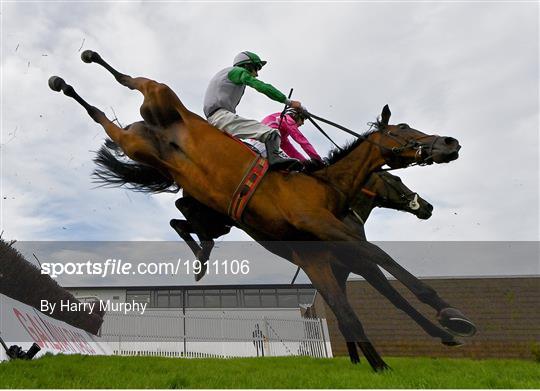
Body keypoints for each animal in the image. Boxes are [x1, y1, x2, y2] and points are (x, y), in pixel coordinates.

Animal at [50, 50, 472, 372]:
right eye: (402, 128)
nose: (450, 143)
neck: (327, 187)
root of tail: (155, 128)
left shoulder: (323, 259)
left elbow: (354, 305)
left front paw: (398, 355)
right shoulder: (327, 233)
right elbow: (382, 261)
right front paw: (452, 316)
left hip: (137, 144)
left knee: (107, 123)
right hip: (159, 98)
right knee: (131, 82)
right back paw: (79, 66)